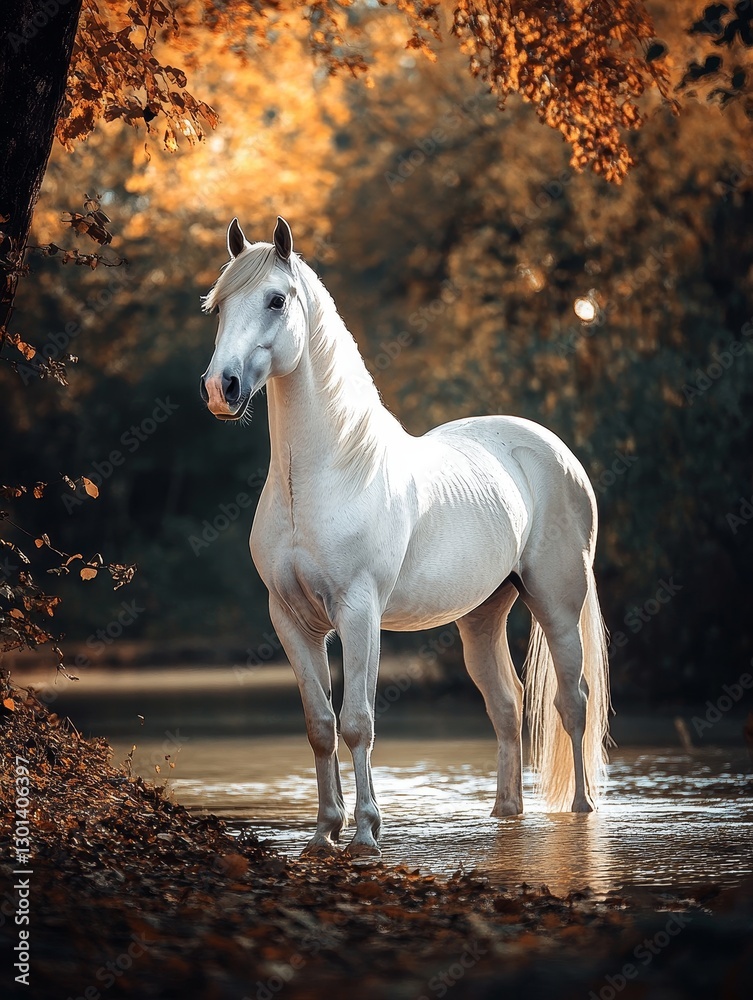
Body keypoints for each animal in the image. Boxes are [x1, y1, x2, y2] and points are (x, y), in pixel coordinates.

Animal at [200, 216, 611, 857]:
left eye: (275, 300)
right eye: (219, 305)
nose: (223, 388)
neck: (329, 471)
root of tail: (554, 449)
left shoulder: (359, 613)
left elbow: (358, 721)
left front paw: (366, 833)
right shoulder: (291, 620)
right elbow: (320, 725)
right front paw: (323, 833)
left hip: (557, 603)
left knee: (572, 702)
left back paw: (582, 808)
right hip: (482, 616)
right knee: (507, 705)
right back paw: (505, 811)